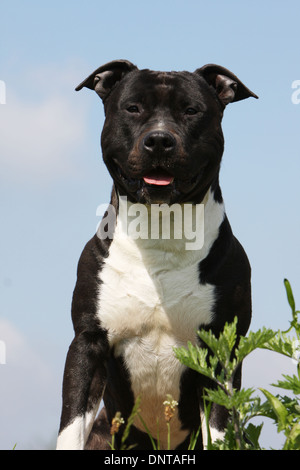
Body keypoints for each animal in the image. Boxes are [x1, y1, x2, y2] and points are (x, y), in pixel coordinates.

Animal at [56, 60, 258, 450]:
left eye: (191, 111)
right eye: (133, 108)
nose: (160, 139)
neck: (160, 233)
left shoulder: (221, 351)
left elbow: (219, 426)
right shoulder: (88, 342)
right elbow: (70, 425)